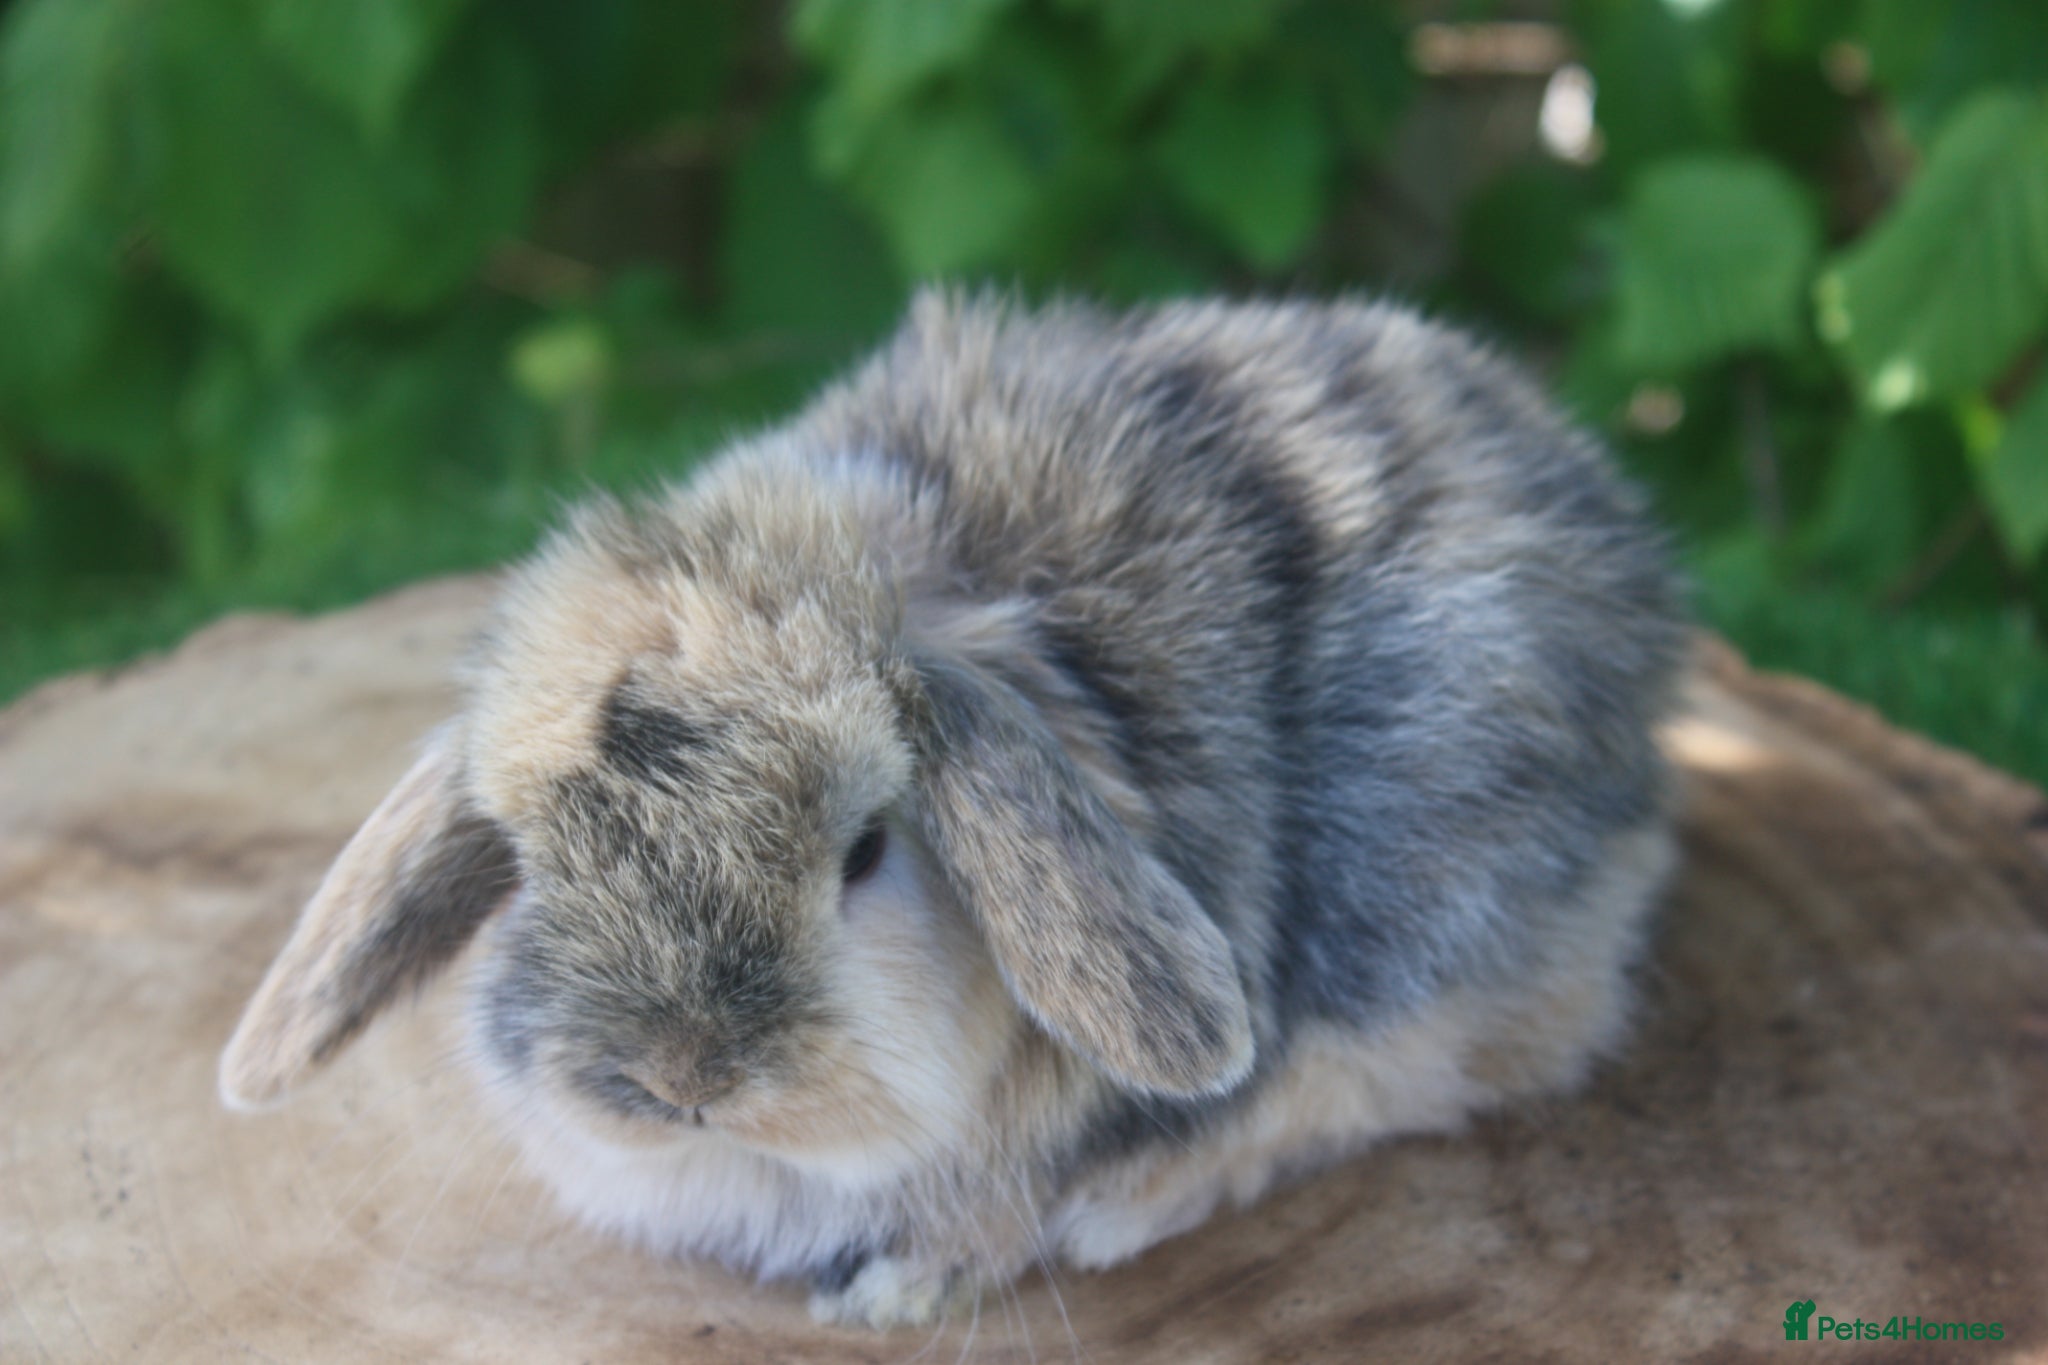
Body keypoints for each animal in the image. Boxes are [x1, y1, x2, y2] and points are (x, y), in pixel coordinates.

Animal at [219, 290, 1686, 1329]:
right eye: (531, 860)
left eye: (867, 848)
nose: (681, 1078)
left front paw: (900, 1288)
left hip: (1428, 873)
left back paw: (1123, 1203)